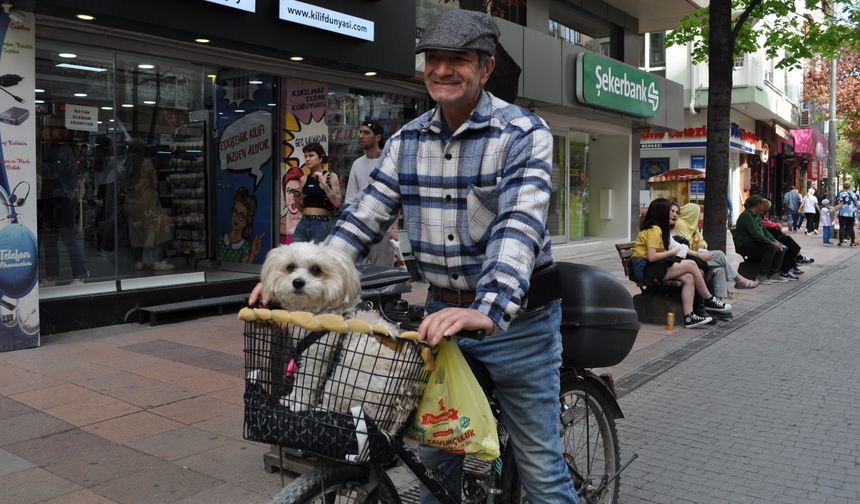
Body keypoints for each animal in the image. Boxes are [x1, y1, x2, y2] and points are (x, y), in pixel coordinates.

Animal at [260, 242, 422, 432]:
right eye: (290, 267)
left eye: (316, 269)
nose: (298, 282)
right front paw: (291, 398)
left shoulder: (316, 355)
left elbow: (306, 382)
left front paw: (297, 403)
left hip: (345, 379)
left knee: (336, 407)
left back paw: (320, 411)